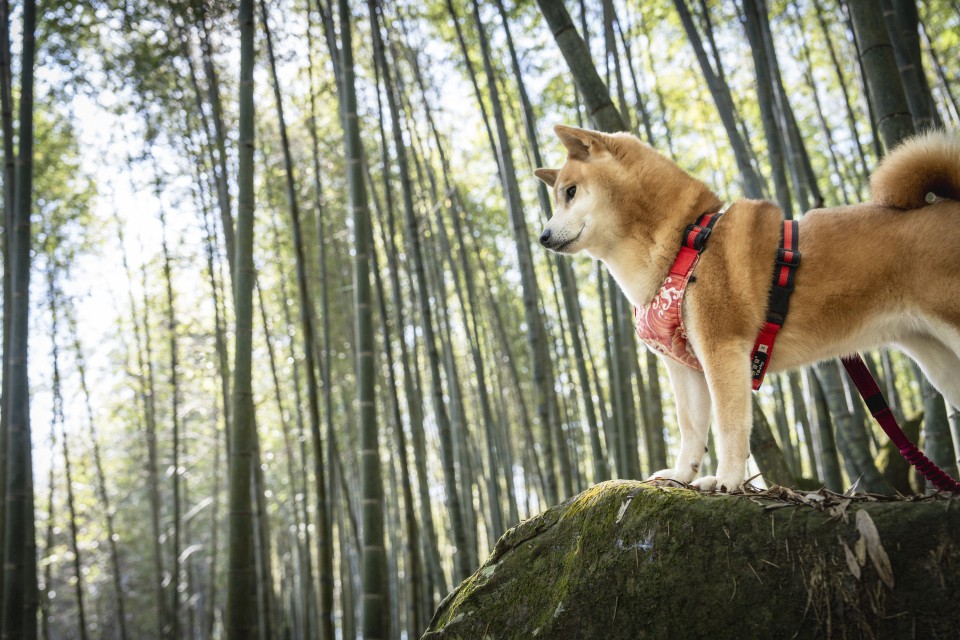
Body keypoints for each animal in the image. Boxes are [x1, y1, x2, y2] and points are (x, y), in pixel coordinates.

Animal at [536, 126, 960, 496]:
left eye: (570, 192)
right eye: (557, 198)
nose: (542, 236)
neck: (685, 243)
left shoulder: (722, 350)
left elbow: (730, 426)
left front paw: (726, 480)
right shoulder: (684, 368)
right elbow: (691, 429)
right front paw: (681, 475)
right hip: (937, 359)